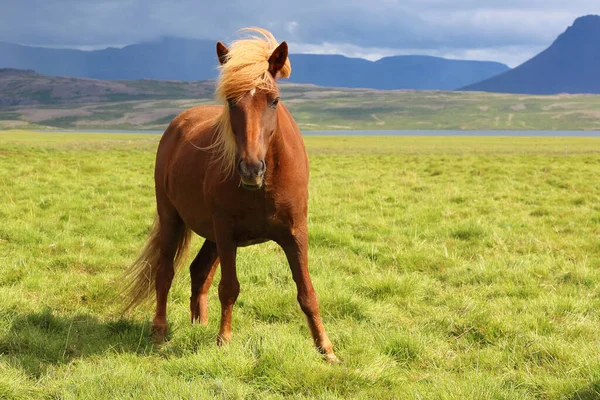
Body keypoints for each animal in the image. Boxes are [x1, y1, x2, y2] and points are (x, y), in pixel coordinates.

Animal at [122, 28, 338, 362]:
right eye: (231, 101)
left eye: (274, 100)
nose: (251, 169)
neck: (265, 187)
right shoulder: (226, 233)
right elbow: (229, 287)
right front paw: (223, 340)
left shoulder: (295, 234)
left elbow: (307, 293)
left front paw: (326, 350)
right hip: (173, 219)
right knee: (164, 273)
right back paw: (159, 331)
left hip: (211, 236)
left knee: (198, 272)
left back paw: (199, 324)